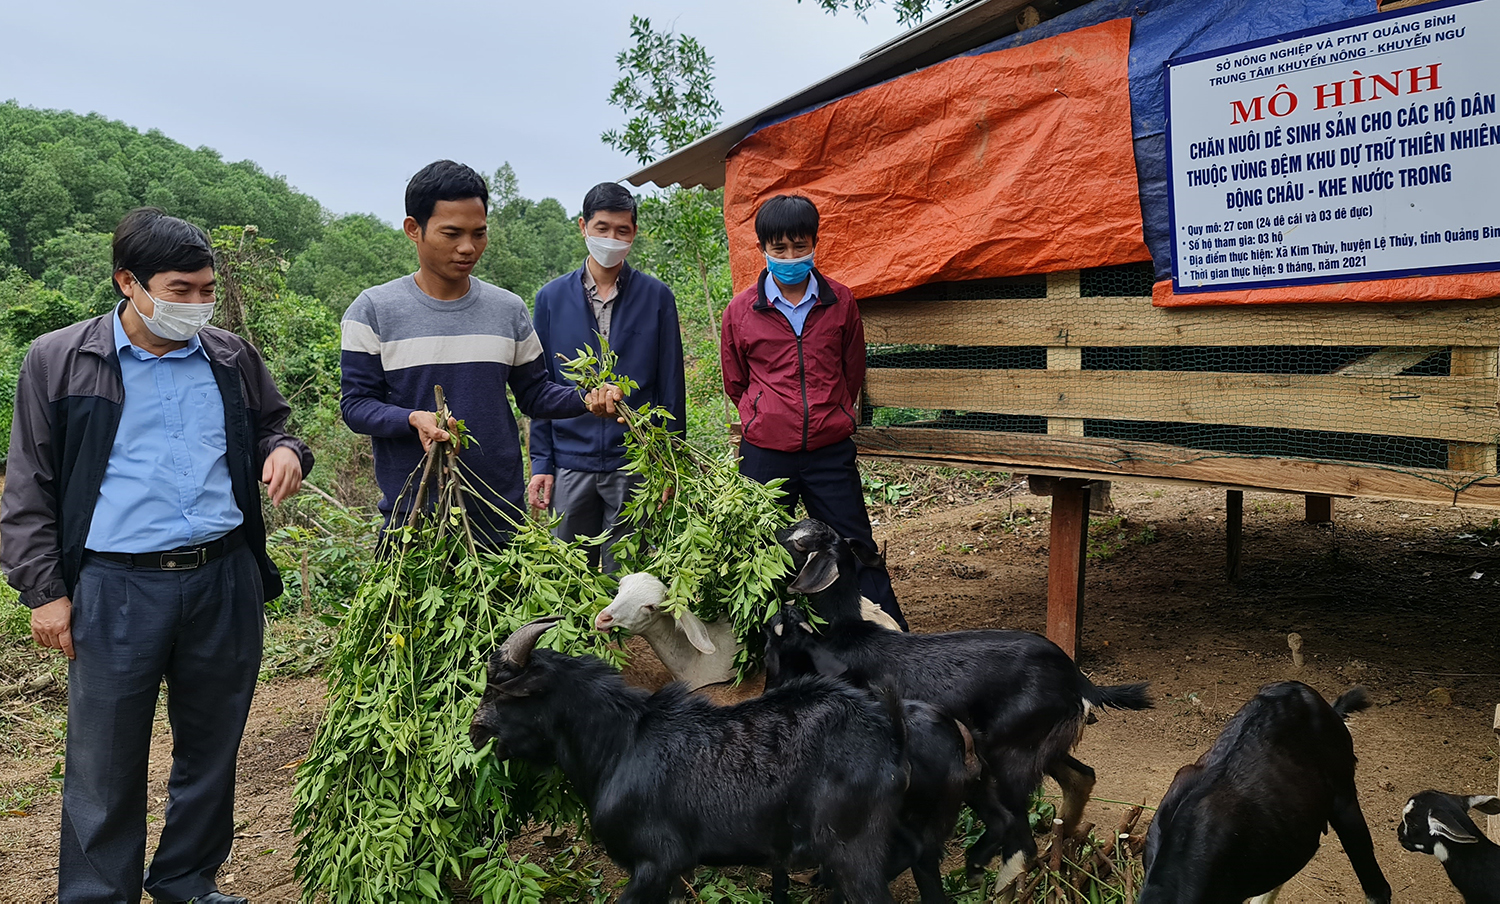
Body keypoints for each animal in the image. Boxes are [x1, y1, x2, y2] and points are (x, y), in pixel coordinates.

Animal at [471, 617, 900, 899]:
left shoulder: (657, 862)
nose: (476, 732)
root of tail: (886, 731)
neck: (619, 746)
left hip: (852, 849)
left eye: (500, 692)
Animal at [762, 524, 1146, 893]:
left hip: (1009, 755)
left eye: (797, 540)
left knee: (1021, 839)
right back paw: (1059, 849)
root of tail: (1079, 681)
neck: (843, 632)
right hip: (1037, 745)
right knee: (1081, 778)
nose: (769, 537)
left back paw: (990, 875)